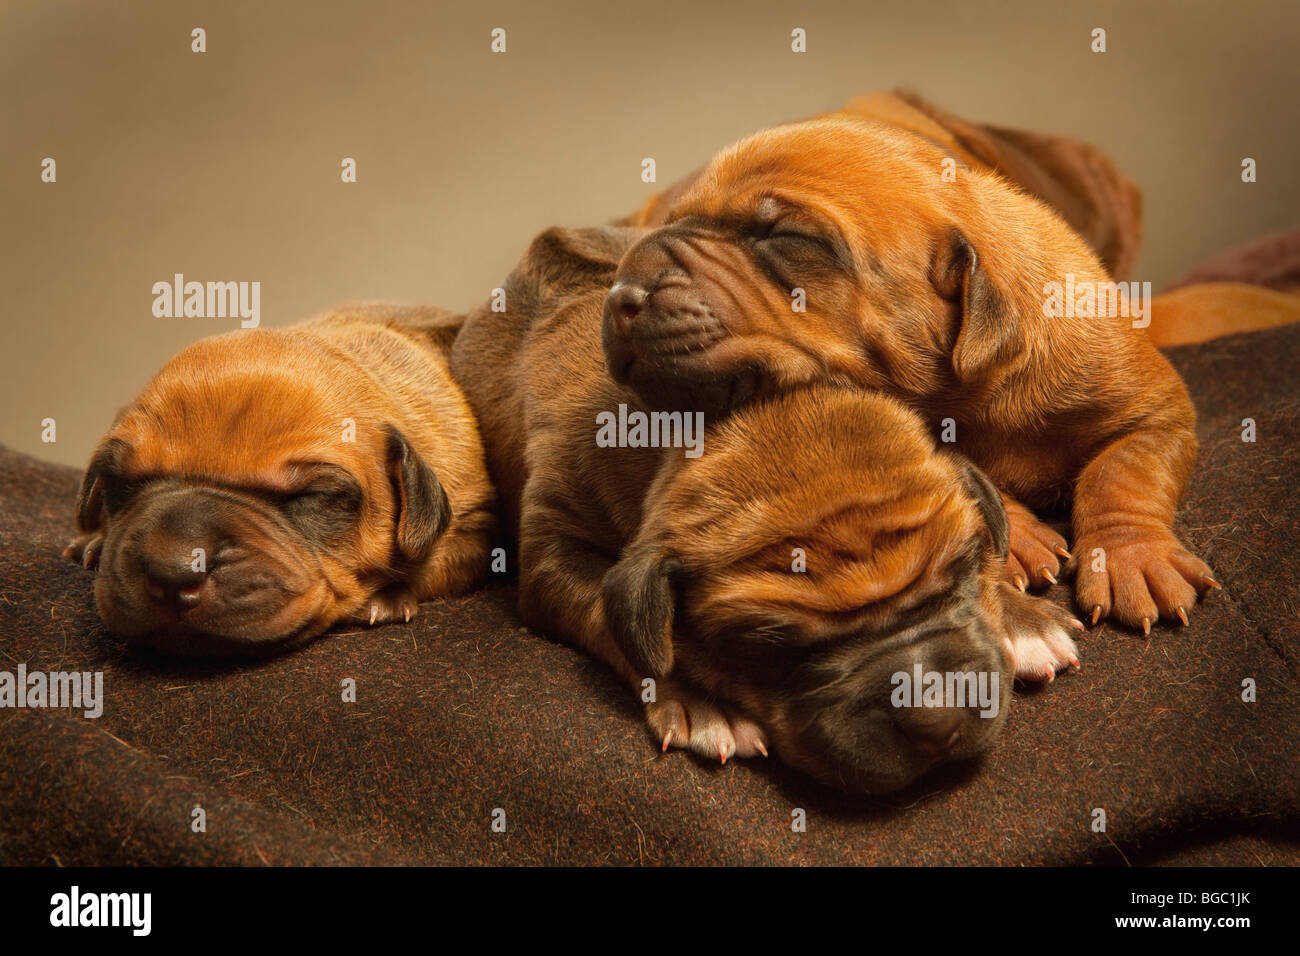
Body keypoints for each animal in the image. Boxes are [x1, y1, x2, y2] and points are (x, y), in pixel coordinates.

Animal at [64, 306, 496, 658]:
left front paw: (388, 596)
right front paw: (95, 540)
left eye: (313, 495)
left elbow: (434, 564)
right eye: (120, 481)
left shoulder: (477, 525)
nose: (173, 573)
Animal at [452, 227, 1081, 796]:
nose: (938, 717)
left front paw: (1023, 618)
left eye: (959, 571)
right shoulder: (553, 551)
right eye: (770, 648)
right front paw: (703, 700)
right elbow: (612, 620)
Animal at [598, 115, 1216, 634]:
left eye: (788, 238)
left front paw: (1132, 559)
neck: (968, 383)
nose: (620, 295)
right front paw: (1018, 538)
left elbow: (1122, 473)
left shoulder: (1156, 408)